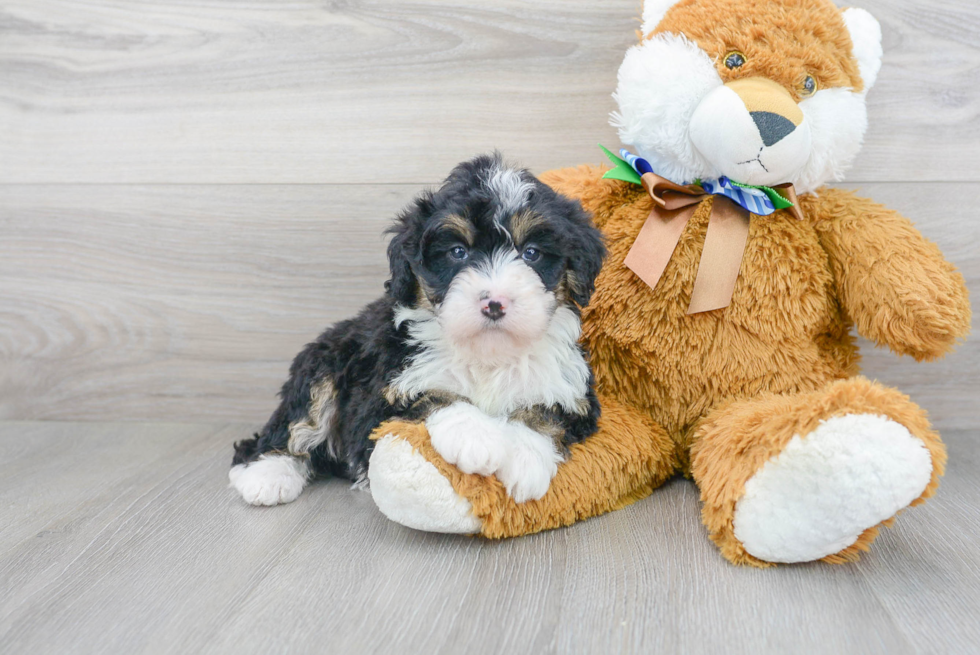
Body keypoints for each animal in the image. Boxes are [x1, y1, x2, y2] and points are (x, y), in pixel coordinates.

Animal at [232, 154, 604, 508]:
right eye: (458, 252)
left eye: (531, 253)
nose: (494, 303)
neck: (487, 353)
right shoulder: (379, 399)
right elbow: (433, 394)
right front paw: (476, 439)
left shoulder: (574, 395)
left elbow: (545, 412)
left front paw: (525, 460)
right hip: (324, 362)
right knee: (290, 427)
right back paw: (268, 475)